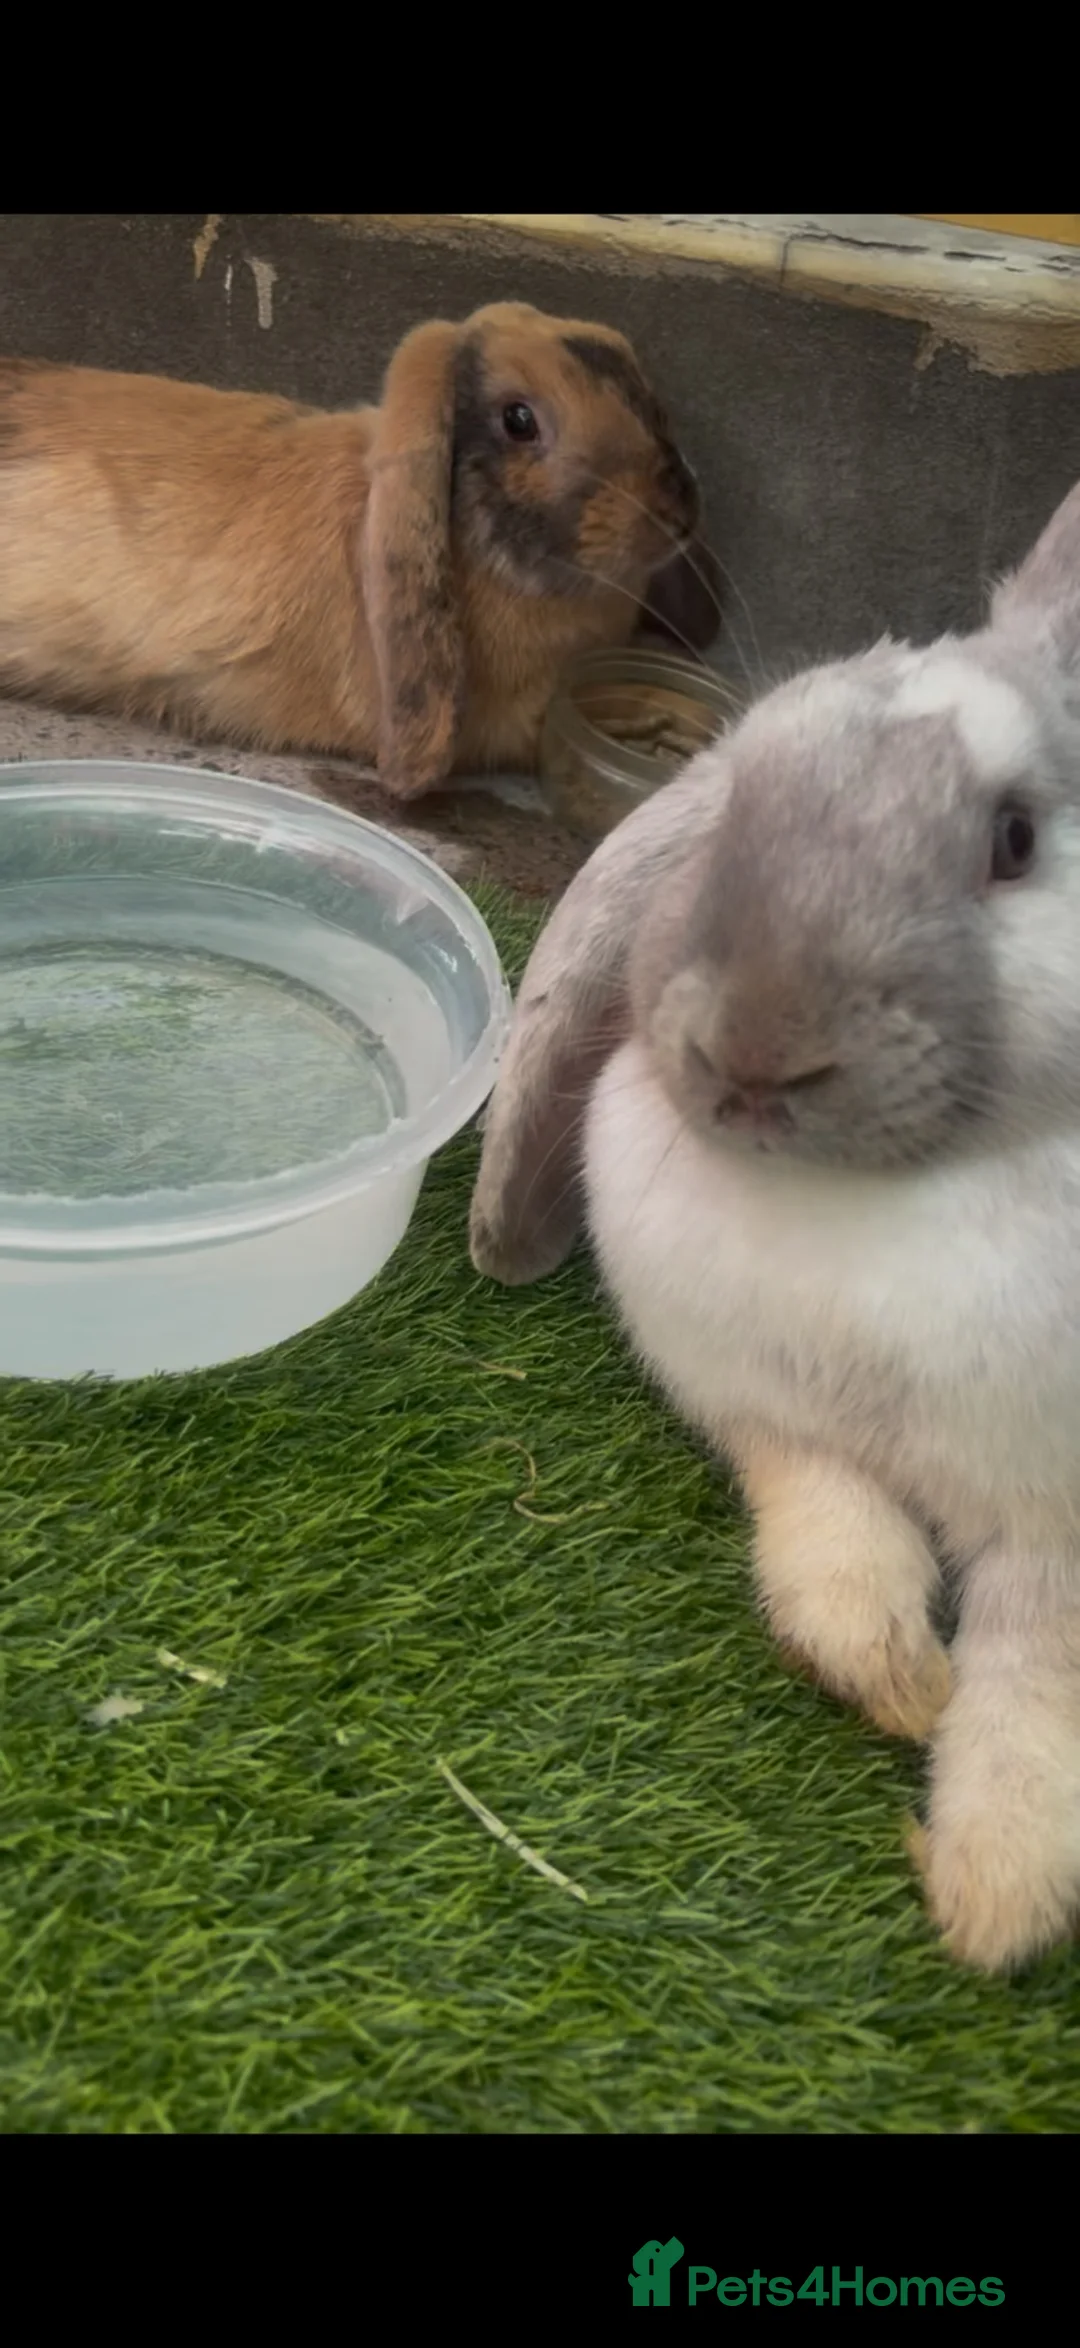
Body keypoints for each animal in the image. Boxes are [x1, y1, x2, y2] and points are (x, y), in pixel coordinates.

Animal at [469, 473, 1080, 1975]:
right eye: (737, 795)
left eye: (1015, 840)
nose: (757, 1051)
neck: (885, 1202)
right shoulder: (766, 1409)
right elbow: (826, 1520)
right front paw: (888, 1671)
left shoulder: (1060, 1533)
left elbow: (1037, 1671)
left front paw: (995, 1891)